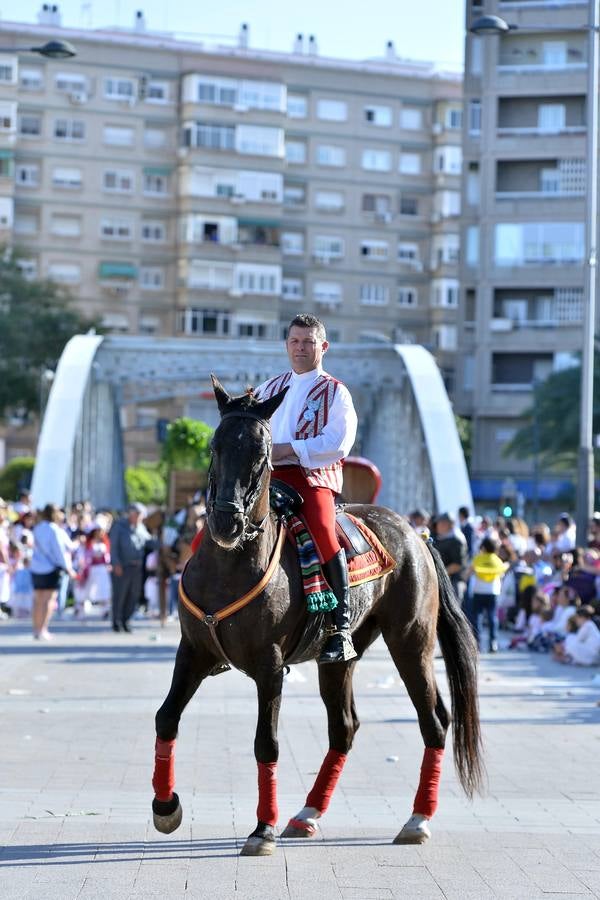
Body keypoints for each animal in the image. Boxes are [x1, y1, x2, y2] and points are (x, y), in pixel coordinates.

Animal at [151, 376, 482, 856]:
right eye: (215, 445)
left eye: (263, 453)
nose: (226, 522)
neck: (230, 565)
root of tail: (415, 534)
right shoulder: (193, 652)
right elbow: (166, 718)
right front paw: (166, 806)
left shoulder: (270, 666)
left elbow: (266, 744)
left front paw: (262, 829)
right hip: (340, 658)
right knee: (344, 726)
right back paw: (307, 813)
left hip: (411, 641)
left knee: (434, 722)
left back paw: (418, 819)